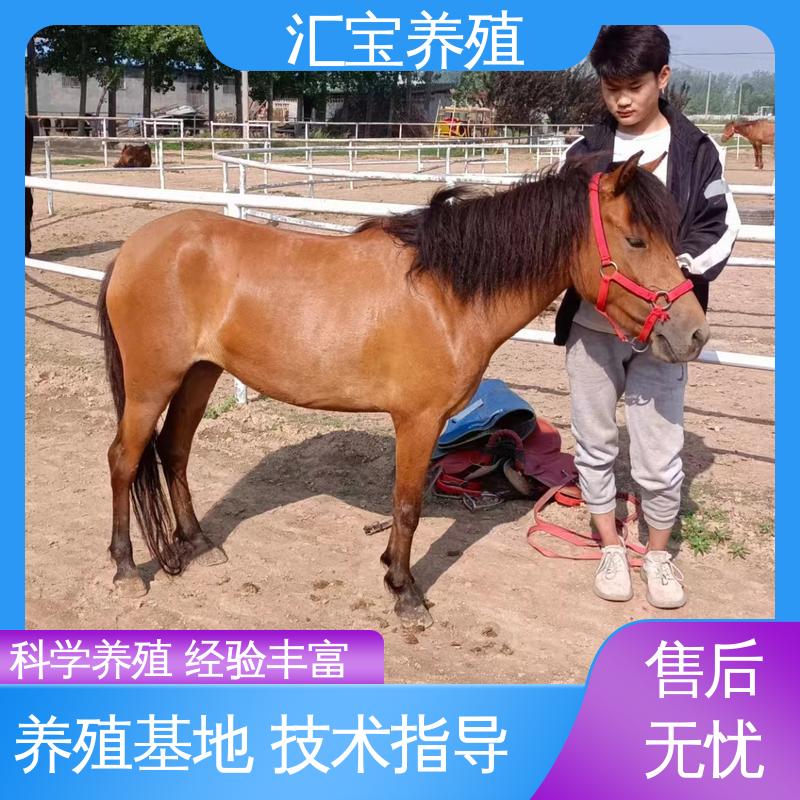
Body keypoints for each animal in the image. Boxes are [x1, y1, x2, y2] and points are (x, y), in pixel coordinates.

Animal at [97, 151, 709, 629]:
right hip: (152, 384)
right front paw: (406, 592)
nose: (694, 334)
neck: (447, 294)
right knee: (125, 459)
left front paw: (392, 574)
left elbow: (403, 506)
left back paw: (198, 545)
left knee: (174, 452)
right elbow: (408, 505)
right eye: (636, 240)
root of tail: (133, 248)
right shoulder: (419, 420)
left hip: (199, 375)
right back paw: (126, 569)